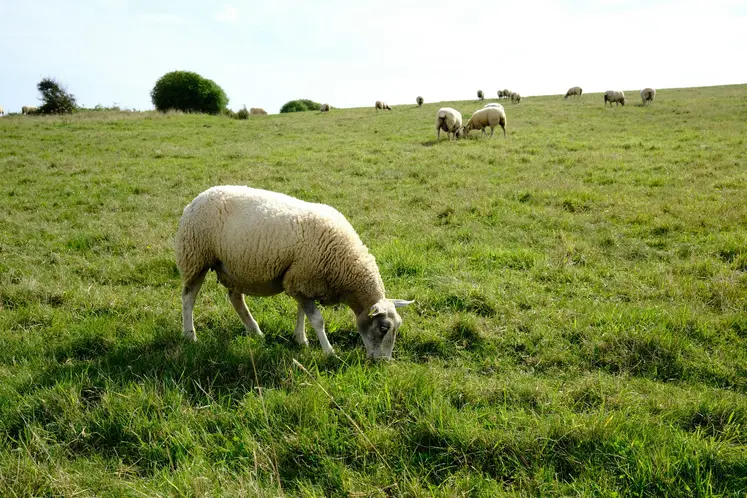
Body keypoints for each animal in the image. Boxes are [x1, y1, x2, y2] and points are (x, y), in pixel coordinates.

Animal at [176, 185, 414, 360]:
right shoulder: (302, 279)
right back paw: (190, 335)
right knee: (188, 297)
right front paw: (329, 351)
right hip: (196, 257)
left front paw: (301, 339)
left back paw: (255, 332)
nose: (383, 362)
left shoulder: (301, 280)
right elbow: (317, 320)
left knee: (236, 298)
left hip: (234, 267)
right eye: (383, 328)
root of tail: (196, 199)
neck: (345, 265)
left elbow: (302, 312)